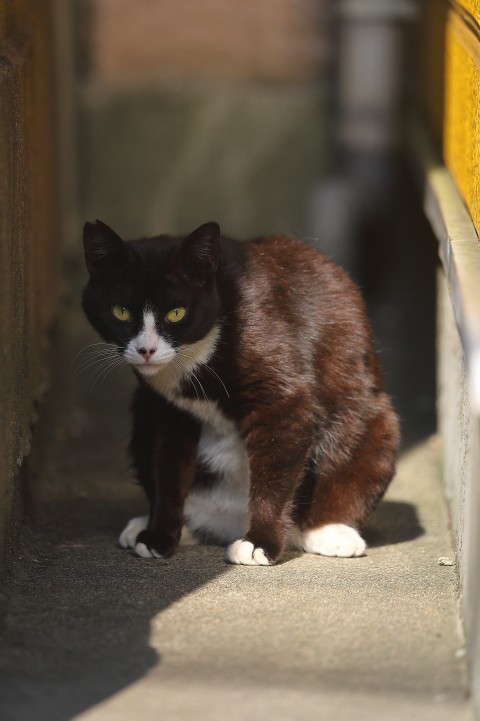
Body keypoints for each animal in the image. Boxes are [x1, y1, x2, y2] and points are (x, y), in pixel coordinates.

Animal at [80, 217, 400, 564]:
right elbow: (166, 468)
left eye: (176, 312)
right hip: (141, 413)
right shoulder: (165, 409)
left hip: (373, 420)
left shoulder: (284, 398)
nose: (146, 350)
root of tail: (230, 522)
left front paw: (260, 542)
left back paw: (330, 532)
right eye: (121, 312)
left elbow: (274, 469)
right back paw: (169, 525)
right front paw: (159, 535)